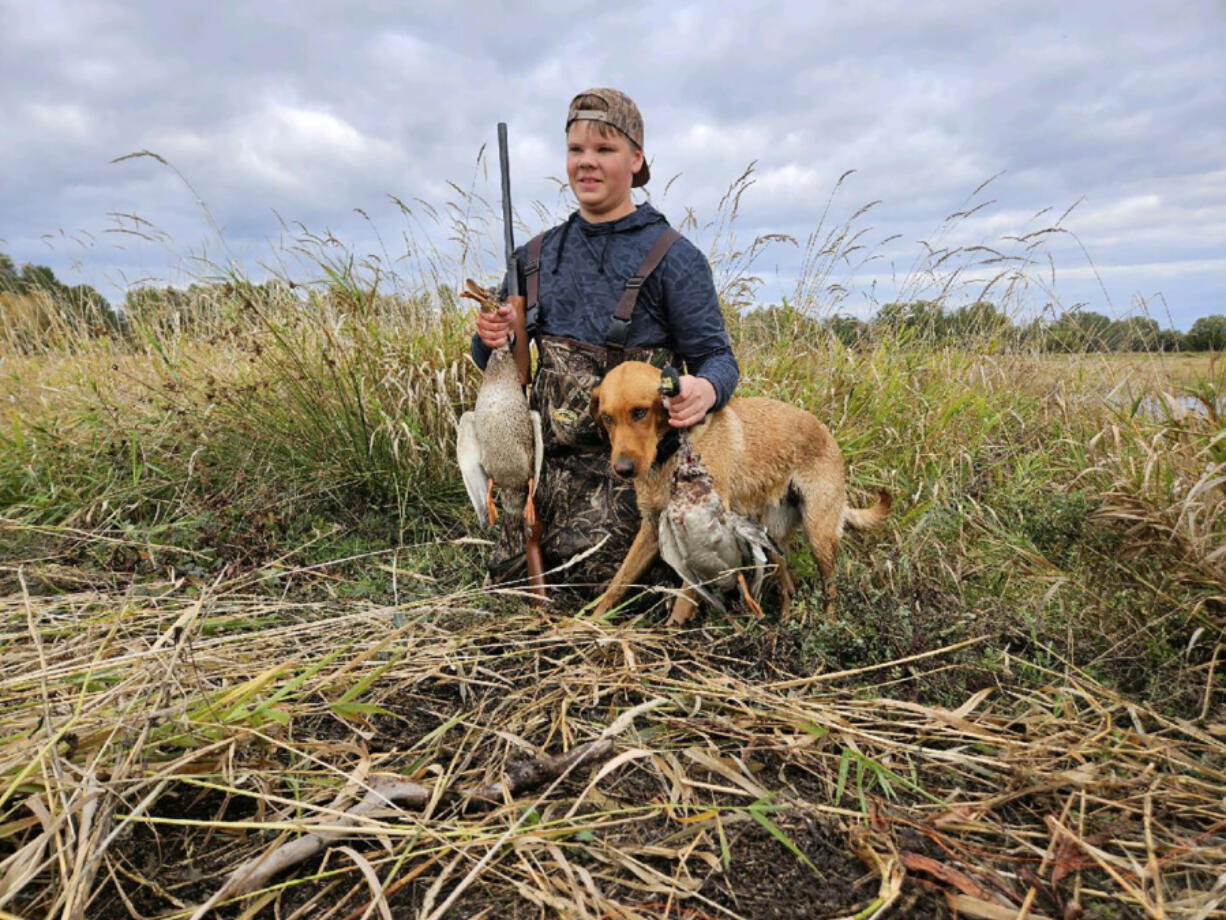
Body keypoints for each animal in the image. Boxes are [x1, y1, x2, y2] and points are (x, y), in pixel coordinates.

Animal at [586, 363, 892, 628]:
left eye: (640, 412)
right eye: (607, 418)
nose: (623, 469)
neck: (672, 454)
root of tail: (827, 433)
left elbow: (685, 597)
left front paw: (672, 635)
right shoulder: (650, 529)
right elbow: (619, 582)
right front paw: (590, 624)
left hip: (820, 536)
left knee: (830, 590)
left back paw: (828, 626)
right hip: (773, 536)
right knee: (788, 586)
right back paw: (783, 627)